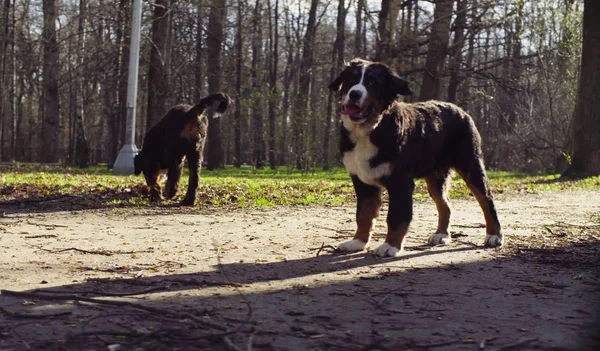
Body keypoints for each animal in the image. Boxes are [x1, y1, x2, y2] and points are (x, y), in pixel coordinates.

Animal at [328, 59, 502, 258]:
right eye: (351, 79)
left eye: (373, 82)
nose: (354, 93)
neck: (371, 129)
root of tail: (459, 109)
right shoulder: (362, 181)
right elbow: (363, 214)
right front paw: (357, 242)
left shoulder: (400, 181)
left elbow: (396, 217)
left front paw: (390, 246)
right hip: (435, 178)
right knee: (445, 205)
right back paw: (441, 234)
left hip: (471, 165)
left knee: (487, 200)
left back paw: (494, 236)